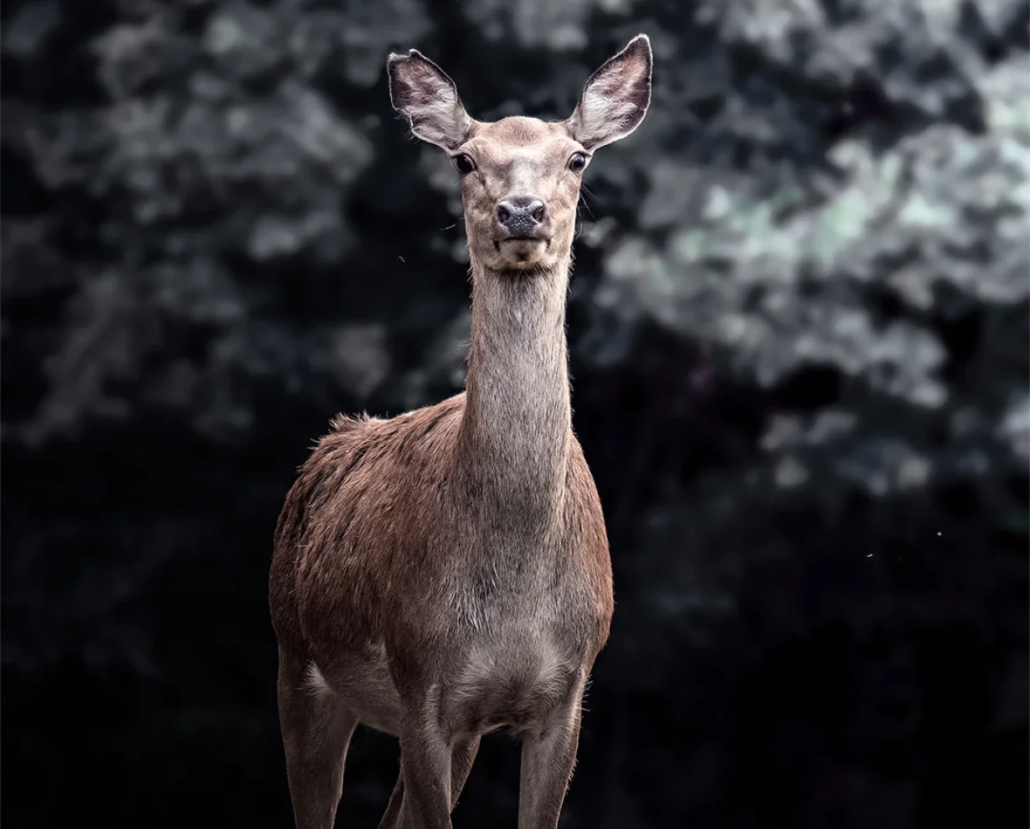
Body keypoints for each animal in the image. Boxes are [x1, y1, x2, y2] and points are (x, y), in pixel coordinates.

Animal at [267, 33, 650, 827]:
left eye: (577, 157)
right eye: (465, 159)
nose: (521, 211)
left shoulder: (566, 692)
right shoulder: (421, 680)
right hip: (295, 654)